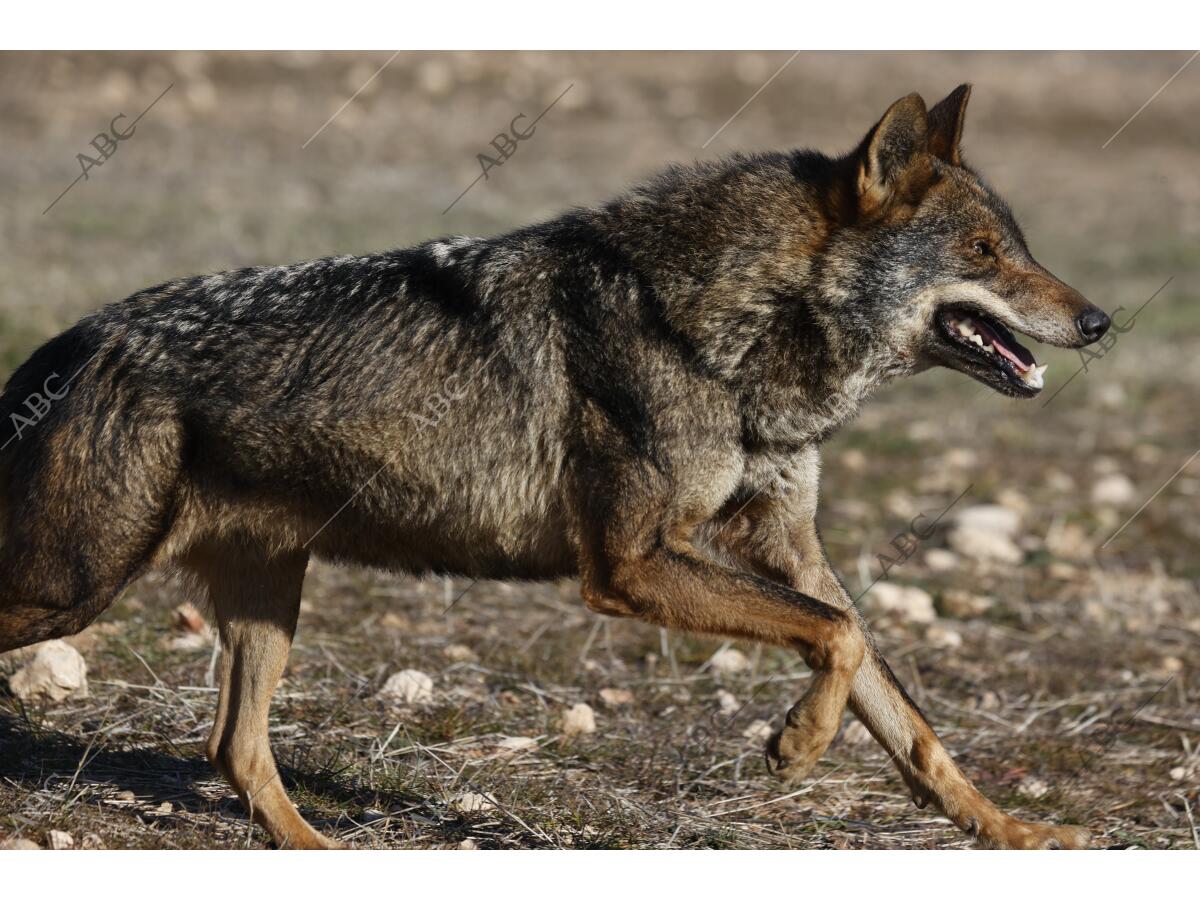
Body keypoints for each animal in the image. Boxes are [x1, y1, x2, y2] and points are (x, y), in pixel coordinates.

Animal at [0, 85, 1110, 848]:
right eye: (984, 251)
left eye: (1020, 245)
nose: (1100, 321)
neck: (729, 329)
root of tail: (69, 343)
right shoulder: (629, 565)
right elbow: (836, 641)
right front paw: (796, 745)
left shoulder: (787, 548)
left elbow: (894, 697)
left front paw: (1012, 830)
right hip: (78, 588)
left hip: (265, 601)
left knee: (233, 751)